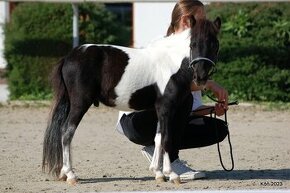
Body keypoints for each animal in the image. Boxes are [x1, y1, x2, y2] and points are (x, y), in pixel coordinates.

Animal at [42, 17, 221, 185]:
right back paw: (71, 175)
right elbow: (166, 138)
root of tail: (69, 57)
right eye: (193, 44)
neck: (171, 63)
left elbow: (158, 138)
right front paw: (172, 174)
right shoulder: (167, 107)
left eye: (215, 45)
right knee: (67, 132)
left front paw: (158, 173)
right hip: (80, 104)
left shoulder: (160, 109)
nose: (200, 77)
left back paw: (64, 173)